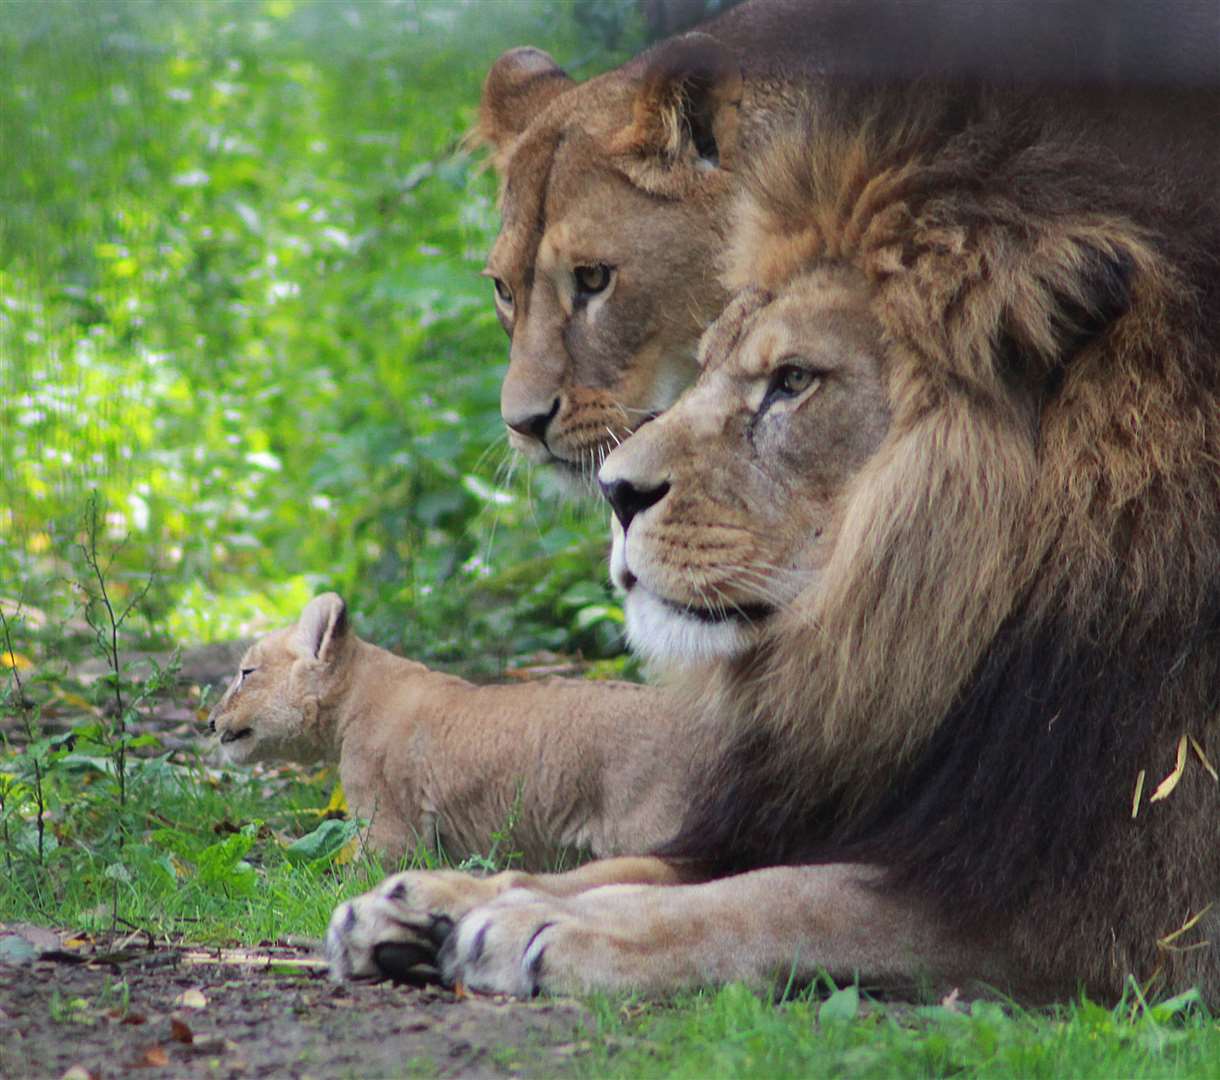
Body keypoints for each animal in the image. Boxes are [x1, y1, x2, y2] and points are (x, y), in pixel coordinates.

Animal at [329, 86, 1220, 1000]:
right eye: (709, 362)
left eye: (792, 382)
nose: (616, 491)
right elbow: (653, 865)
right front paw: (436, 899)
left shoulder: (1106, 914)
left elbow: (787, 899)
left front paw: (545, 924)